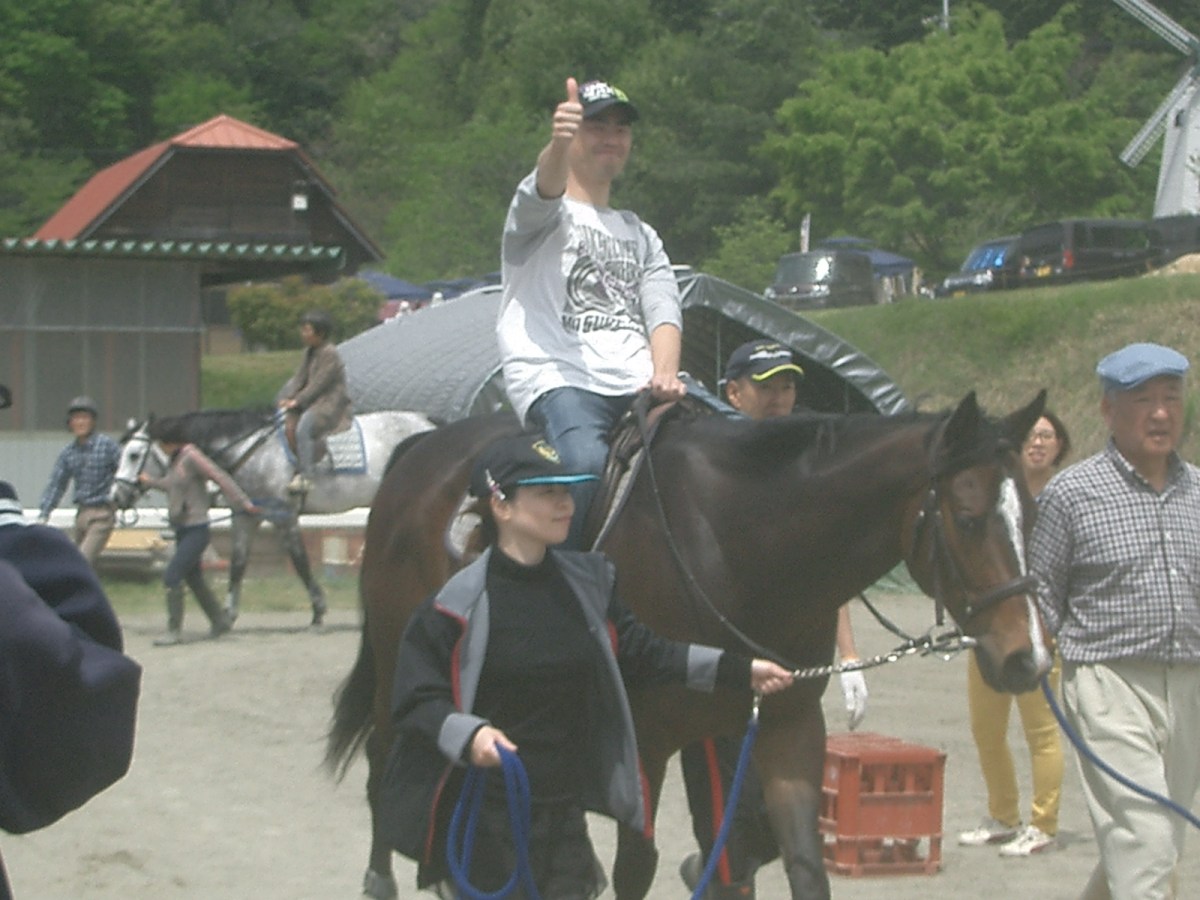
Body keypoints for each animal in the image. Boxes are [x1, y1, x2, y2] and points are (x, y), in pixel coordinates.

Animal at [109, 408, 435, 624]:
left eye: (134, 455)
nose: (116, 496)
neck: (250, 449)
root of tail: (431, 423)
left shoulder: (283, 515)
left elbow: (301, 562)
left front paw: (318, 612)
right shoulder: (245, 516)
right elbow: (238, 565)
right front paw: (228, 614)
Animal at [327, 390, 1051, 899]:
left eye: (1034, 514)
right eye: (968, 518)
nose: (1030, 659)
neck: (737, 543)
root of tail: (421, 447)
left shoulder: (786, 725)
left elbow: (791, 863)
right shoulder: (643, 743)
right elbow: (635, 868)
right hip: (401, 661)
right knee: (386, 760)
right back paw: (384, 874)